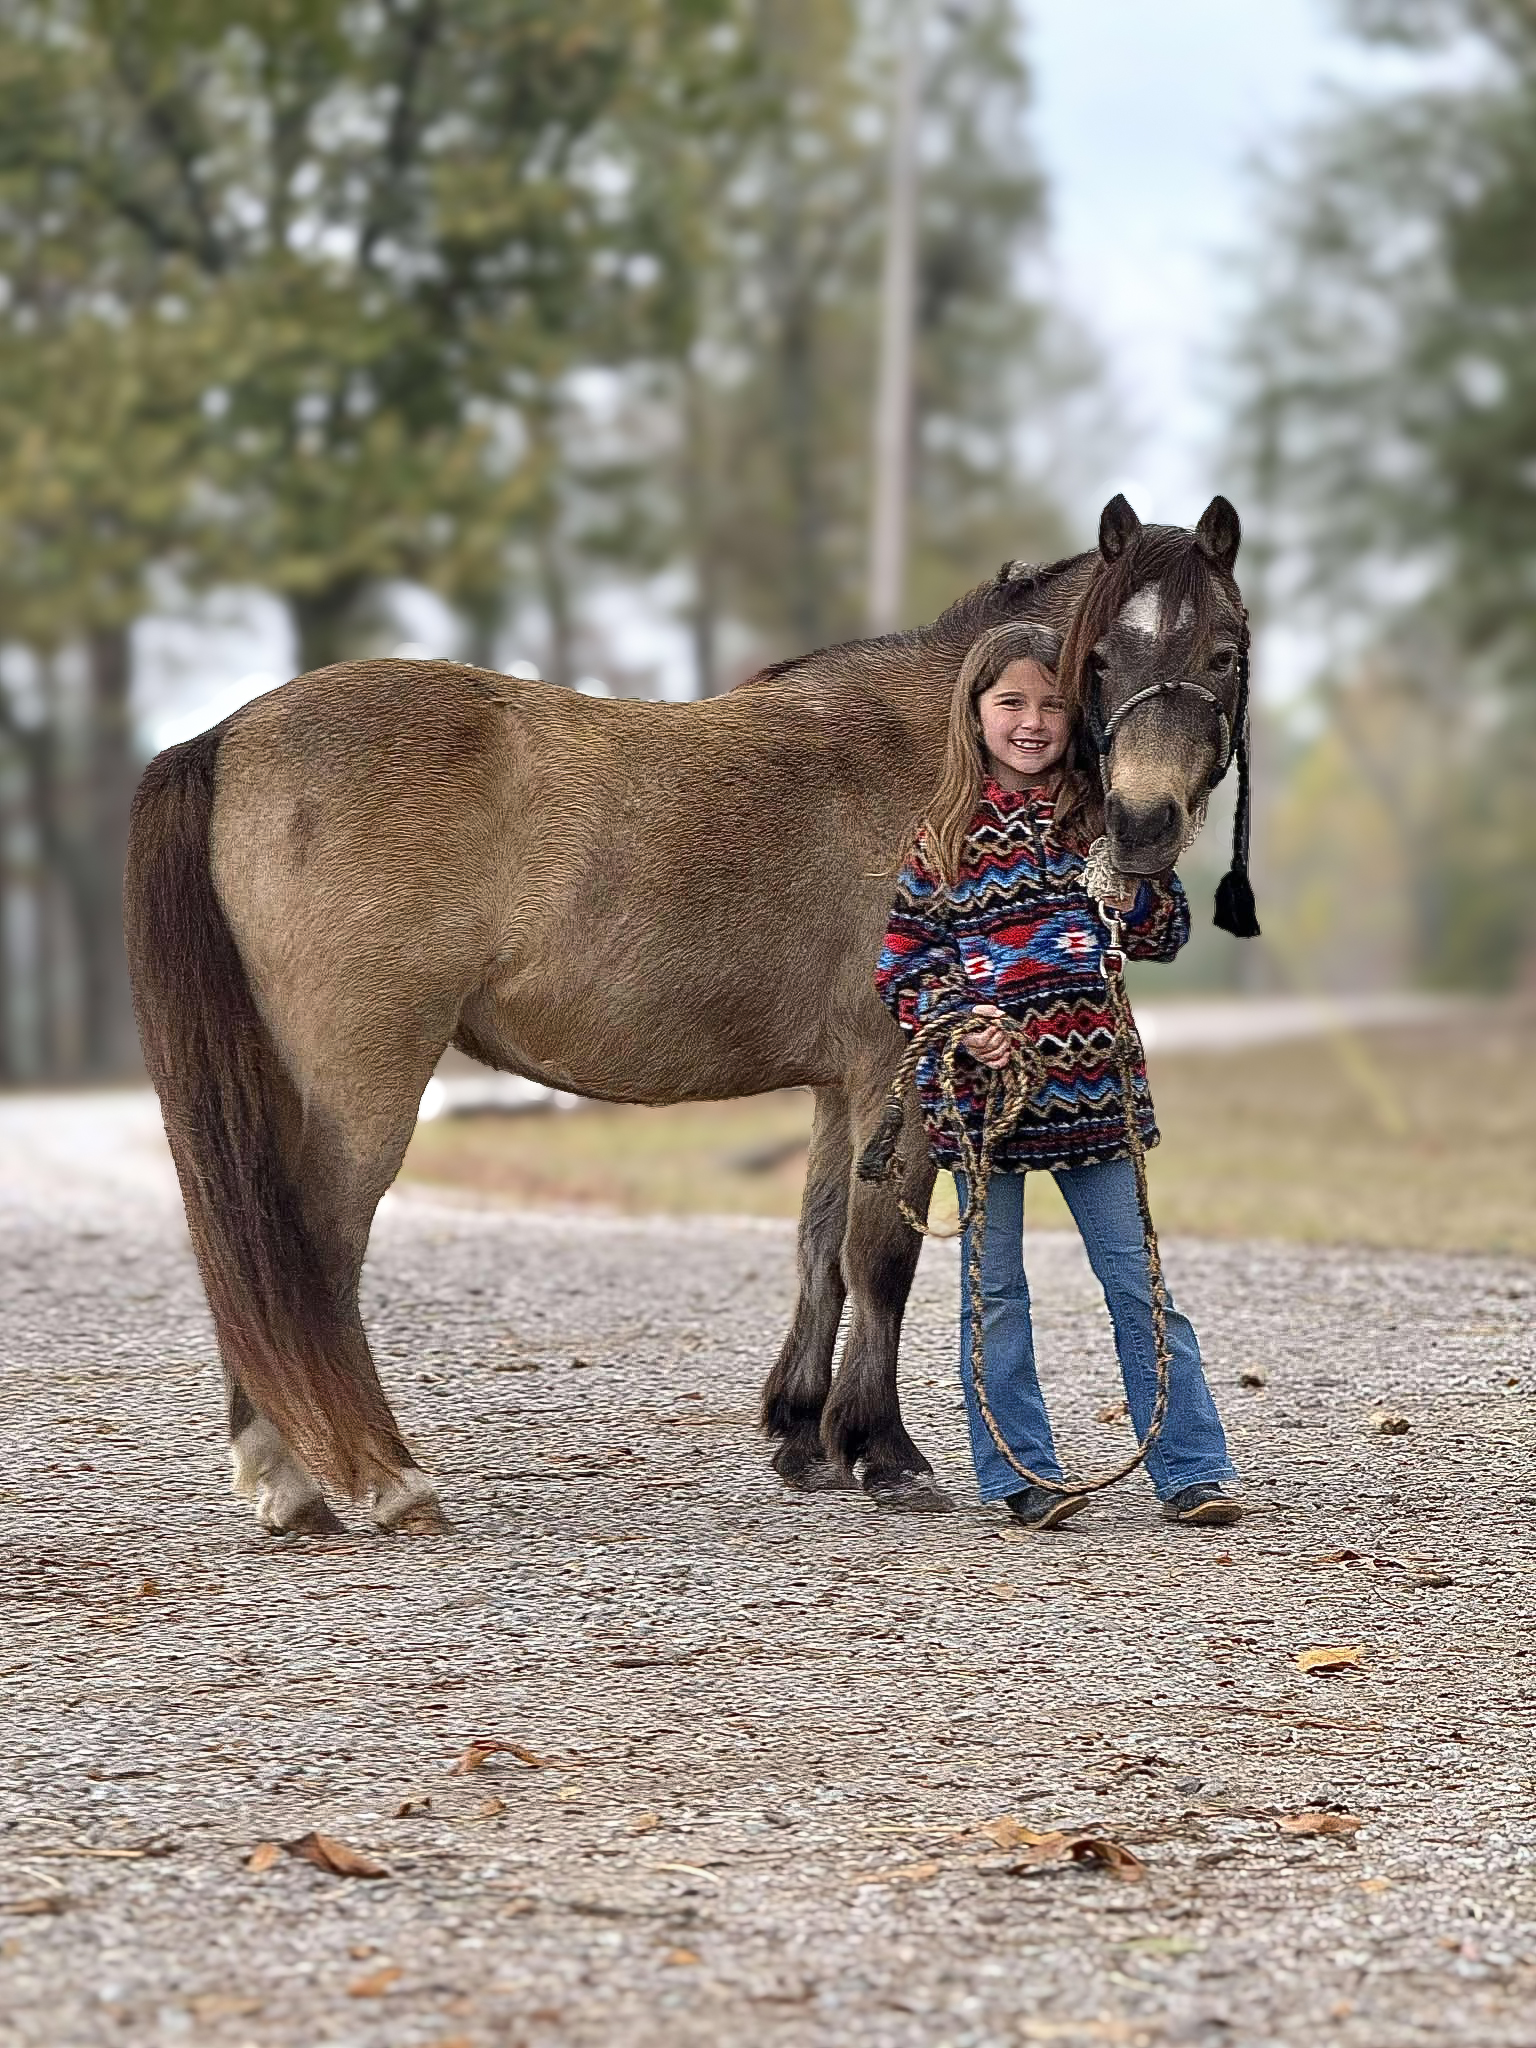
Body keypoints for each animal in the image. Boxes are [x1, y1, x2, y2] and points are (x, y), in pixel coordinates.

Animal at [123, 492, 1256, 1536]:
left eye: (1225, 651)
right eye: (1098, 657)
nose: (1142, 823)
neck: (941, 752)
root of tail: (227, 737)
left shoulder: (841, 1087)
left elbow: (819, 1249)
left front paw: (806, 1438)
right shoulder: (897, 1064)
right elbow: (879, 1259)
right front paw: (886, 1454)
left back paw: (289, 1481)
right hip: (365, 1081)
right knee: (311, 1250)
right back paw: (379, 1478)